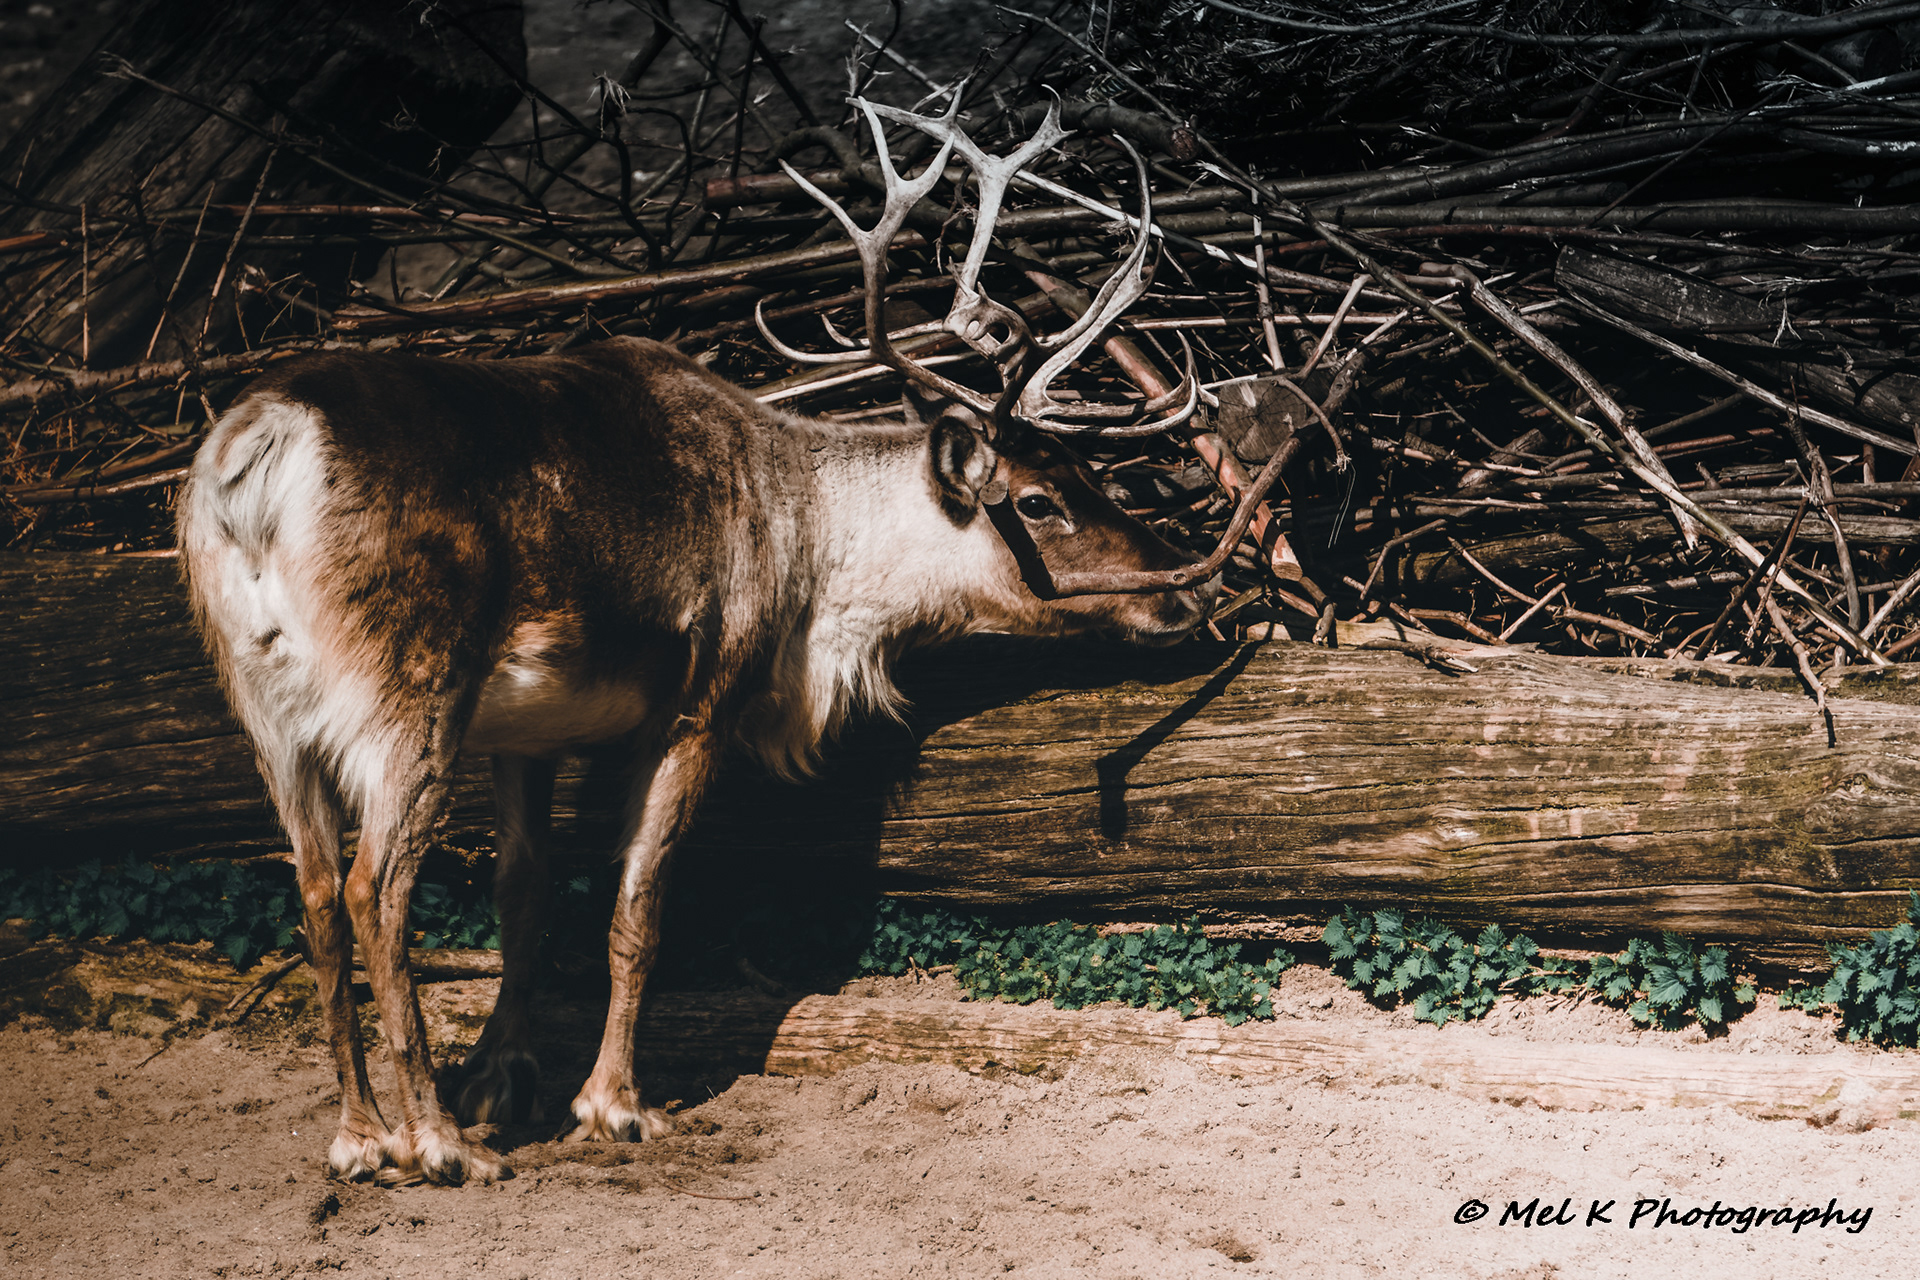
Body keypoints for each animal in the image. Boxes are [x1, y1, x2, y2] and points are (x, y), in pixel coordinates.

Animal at [177, 93, 1265, 1186]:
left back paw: (360, 1135)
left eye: (1090, 470)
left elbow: (524, 898)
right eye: (1037, 500)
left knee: (316, 890)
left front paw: (503, 1074)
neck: (813, 565)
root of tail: (257, 456)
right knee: (374, 889)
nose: (1192, 590)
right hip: (410, 691)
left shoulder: (526, 732)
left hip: (261, 703)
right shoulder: (704, 698)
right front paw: (613, 1104)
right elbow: (638, 906)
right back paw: (439, 1145)